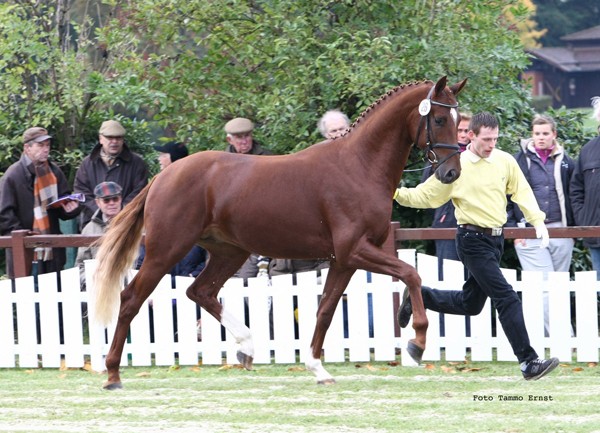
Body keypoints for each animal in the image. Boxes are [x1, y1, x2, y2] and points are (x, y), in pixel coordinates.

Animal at [95, 75, 468, 388]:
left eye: (457, 119)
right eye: (438, 119)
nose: (451, 173)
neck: (360, 166)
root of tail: (162, 176)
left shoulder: (344, 260)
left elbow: (326, 309)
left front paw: (318, 369)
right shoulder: (355, 250)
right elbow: (411, 274)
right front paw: (417, 342)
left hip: (230, 252)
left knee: (200, 292)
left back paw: (246, 347)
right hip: (166, 251)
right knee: (131, 299)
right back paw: (112, 373)